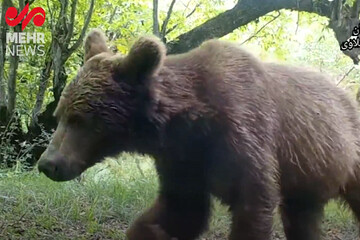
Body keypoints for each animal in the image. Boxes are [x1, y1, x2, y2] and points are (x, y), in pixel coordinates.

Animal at [38, 29, 360, 239]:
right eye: (59, 116)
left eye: (79, 119)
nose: (48, 163)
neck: (190, 120)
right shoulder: (183, 157)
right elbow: (182, 210)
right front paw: (149, 230)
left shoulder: (243, 131)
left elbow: (252, 199)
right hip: (308, 177)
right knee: (302, 218)